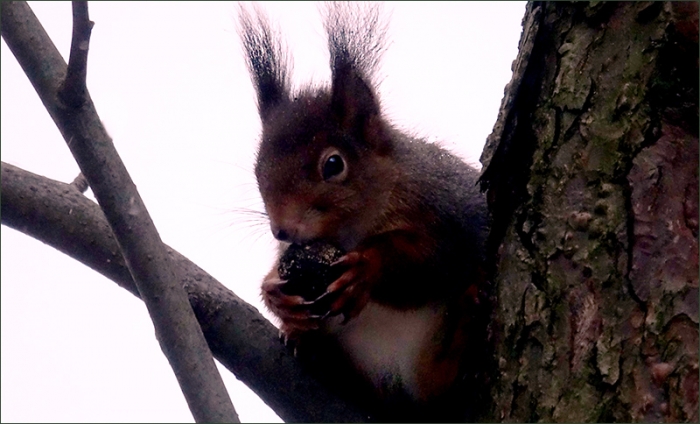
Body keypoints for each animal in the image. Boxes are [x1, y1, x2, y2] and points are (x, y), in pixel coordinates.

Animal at [239, 3, 490, 422]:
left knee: (438, 385)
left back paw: (464, 324)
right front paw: (274, 291)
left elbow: (435, 259)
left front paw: (367, 268)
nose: (282, 231)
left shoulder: (449, 212)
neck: (354, 231)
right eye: (258, 170)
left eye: (333, 164)